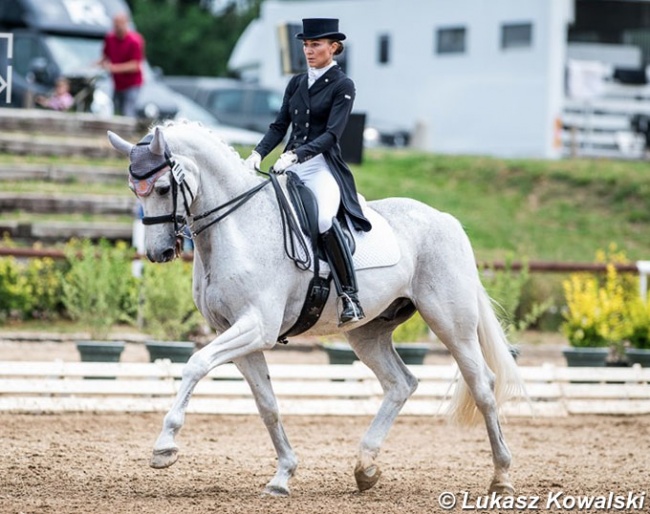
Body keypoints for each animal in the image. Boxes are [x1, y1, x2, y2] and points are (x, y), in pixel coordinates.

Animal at [106, 121, 520, 496]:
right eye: (132, 189)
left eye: (162, 188)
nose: (158, 252)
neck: (238, 227)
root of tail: (447, 220)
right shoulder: (238, 334)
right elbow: (267, 404)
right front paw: (282, 475)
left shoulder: (257, 326)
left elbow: (195, 364)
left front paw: (165, 446)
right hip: (368, 332)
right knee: (401, 383)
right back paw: (365, 469)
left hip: (451, 323)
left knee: (483, 386)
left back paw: (501, 476)